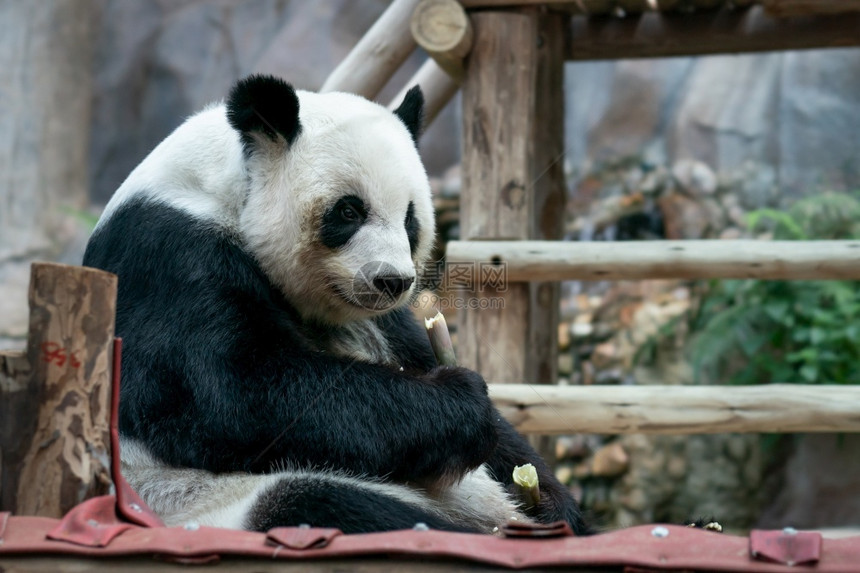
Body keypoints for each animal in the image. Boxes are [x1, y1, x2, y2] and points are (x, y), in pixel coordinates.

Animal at [84, 73, 588, 536]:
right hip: (202, 502)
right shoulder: (167, 257)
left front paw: (550, 497)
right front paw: (462, 402)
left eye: (410, 219)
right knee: (323, 502)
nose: (393, 281)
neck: (226, 185)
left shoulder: (384, 323)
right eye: (349, 211)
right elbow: (233, 394)